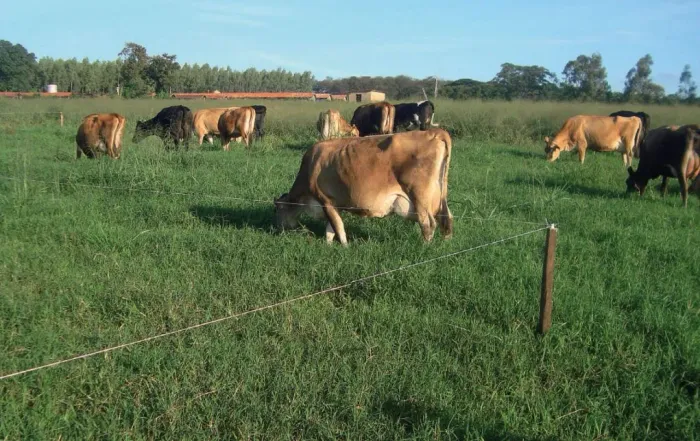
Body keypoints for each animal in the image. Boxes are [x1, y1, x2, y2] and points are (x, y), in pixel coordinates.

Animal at [273, 128, 453, 246]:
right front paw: (329, 245)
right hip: (439, 196)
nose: (277, 228)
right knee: (447, 218)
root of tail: (434, 131)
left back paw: (425, 247)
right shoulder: (334, 204)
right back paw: (444, 245)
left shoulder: (325, 200)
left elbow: (337, 227)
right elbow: (331, 228)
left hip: (420, 197)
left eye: (278, 210)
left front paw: (345, 247)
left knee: (428, 223)